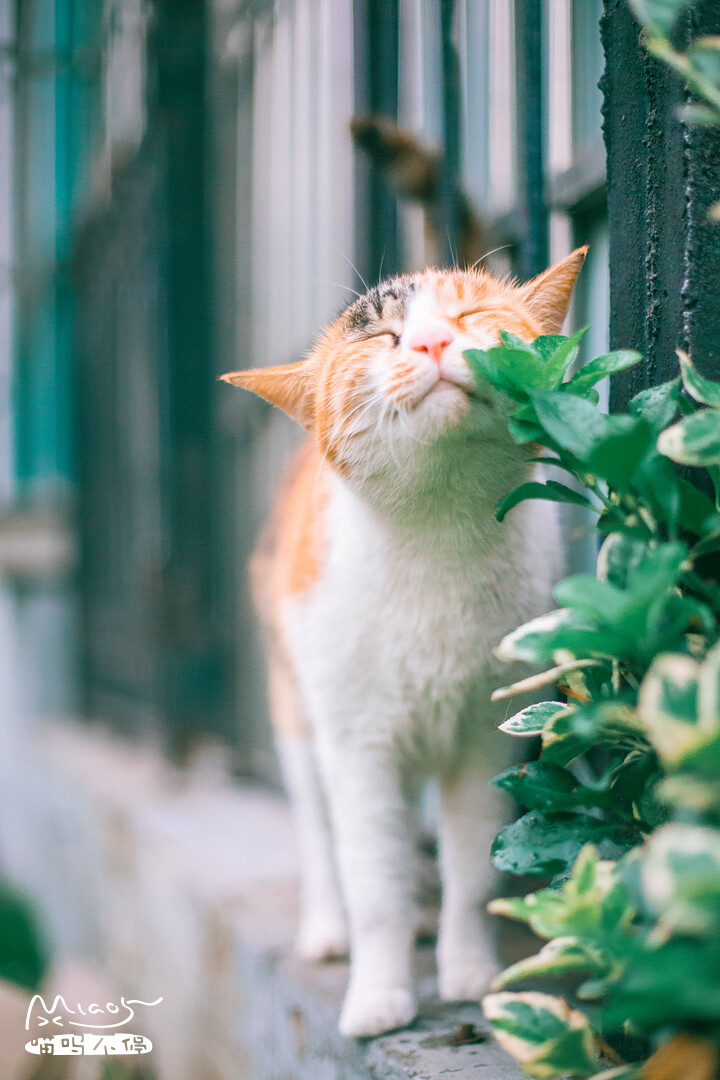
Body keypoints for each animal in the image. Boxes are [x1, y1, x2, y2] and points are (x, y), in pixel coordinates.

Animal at [222, 248, 587, 1041]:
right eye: (384, 338)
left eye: (469, 314)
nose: (431, 341)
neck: (440, 536)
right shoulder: (358, 743)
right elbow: (374, 883)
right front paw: (379, 996)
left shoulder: (489, 732)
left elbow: (473, 868)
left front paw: (469, 973)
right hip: (297, 715)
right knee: (320, 836)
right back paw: (328, 931)